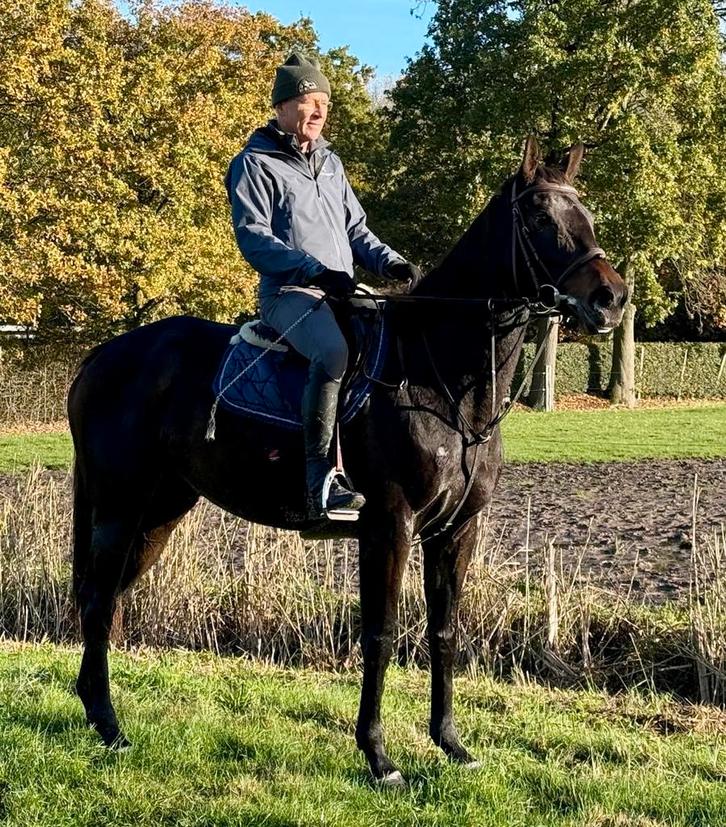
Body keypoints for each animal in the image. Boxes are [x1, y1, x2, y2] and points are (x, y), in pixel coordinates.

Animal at [68, 136, 627, 786]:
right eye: (538, 218)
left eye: (586, 214)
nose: (611, 298)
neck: (439, 377)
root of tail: (104, 355)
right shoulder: (389, 526)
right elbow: (380, 634)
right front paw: (378, 755)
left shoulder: (456, 531)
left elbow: (444, 631)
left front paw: (450, 743)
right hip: (119, 508)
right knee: (98, 601)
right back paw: (110, 726)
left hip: (158, 513)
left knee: (109, 598)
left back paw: (97, 713)